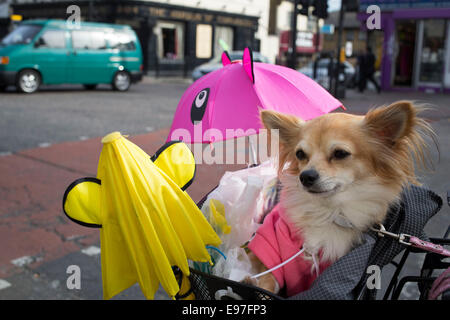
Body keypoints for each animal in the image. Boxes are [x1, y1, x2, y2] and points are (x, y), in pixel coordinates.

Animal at [244, 100, 438, 296]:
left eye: (340, 153)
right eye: (300, 154)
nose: (305, 176)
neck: (330, 211)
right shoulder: (272, 245)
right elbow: (269, 278)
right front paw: (255, 285)